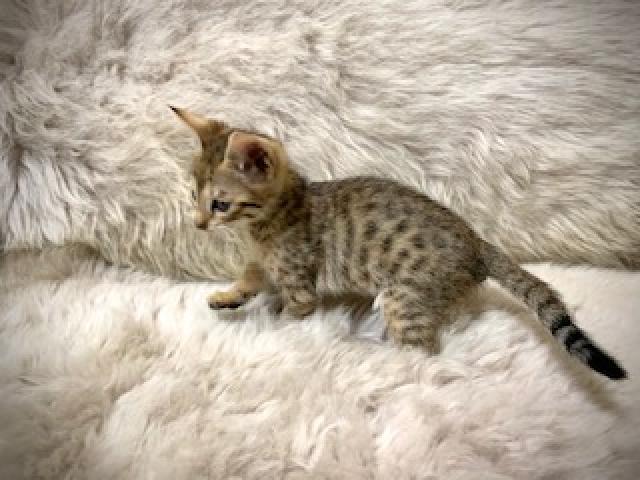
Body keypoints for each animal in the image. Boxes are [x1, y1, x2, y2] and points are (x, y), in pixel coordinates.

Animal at [171, 106, 626, 380]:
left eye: (220, 203)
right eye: (193, 195)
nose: (197, 224)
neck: (266, 223)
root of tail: (476, 241)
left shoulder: (299, 282)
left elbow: (292, 311)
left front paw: (277, 330)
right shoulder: (262, 262)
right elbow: (249, 278)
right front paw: (227, 296)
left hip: (403, 296)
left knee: (421, 354)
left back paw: (371, 355)